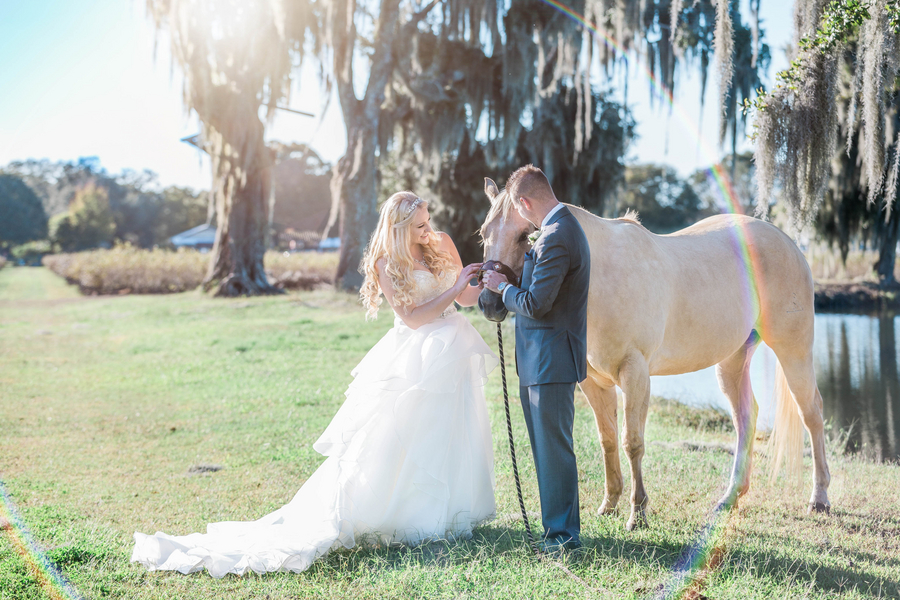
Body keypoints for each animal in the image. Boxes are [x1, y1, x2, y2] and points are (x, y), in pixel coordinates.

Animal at [474, 177, 832, 528]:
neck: (598, 275)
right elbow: (607, 439)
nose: (491, 304)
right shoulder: (592, 381)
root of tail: (788, 242)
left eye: (525, 236)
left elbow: (632, 442)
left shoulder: (635, 373)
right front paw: (609, 505)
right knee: (746, 416)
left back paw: (819, 498)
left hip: (793, 349)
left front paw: (638, 512)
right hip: (732, 361)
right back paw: (729, 498)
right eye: (484, 232)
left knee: (811, 412)